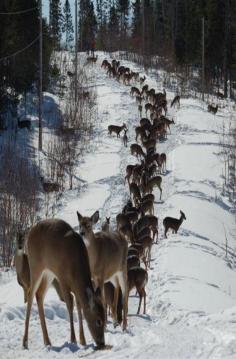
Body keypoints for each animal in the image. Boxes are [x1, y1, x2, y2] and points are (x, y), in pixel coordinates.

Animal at [22, 218, 105, 350]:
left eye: (105, 319)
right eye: (98, 321)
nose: (102, 343)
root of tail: (29, 233)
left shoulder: (74, 286)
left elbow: (79, 304)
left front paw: (83, 340)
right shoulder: (62, 277)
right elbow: (70, 303)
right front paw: (73, 339)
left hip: (49, 272)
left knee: (39, 294)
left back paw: (47, 341)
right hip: (35, 265)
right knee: (30, 294)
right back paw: (25, 342)